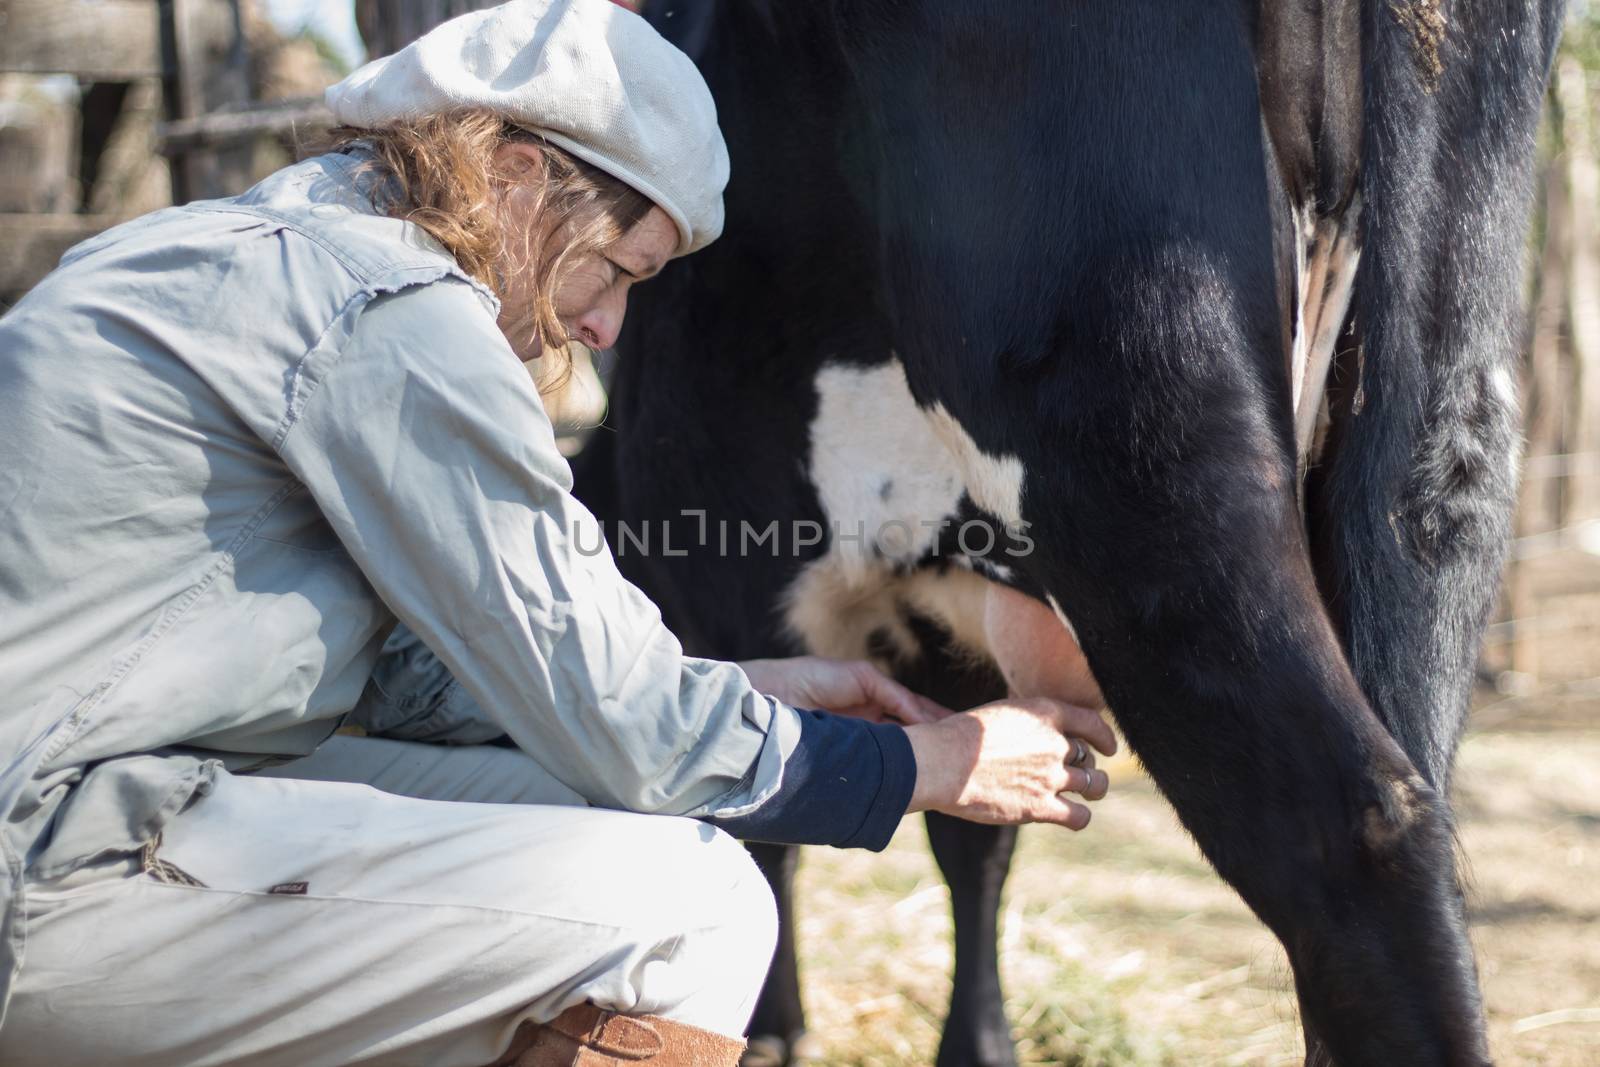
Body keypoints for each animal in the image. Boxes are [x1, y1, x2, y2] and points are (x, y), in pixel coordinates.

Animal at [572, 2, 1561, 1067]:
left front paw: (770, 1028)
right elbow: (970, 827)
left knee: (1362, 828)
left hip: (1133, 418)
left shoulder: (724, 567)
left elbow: (764, 823)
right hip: (1440, 433)